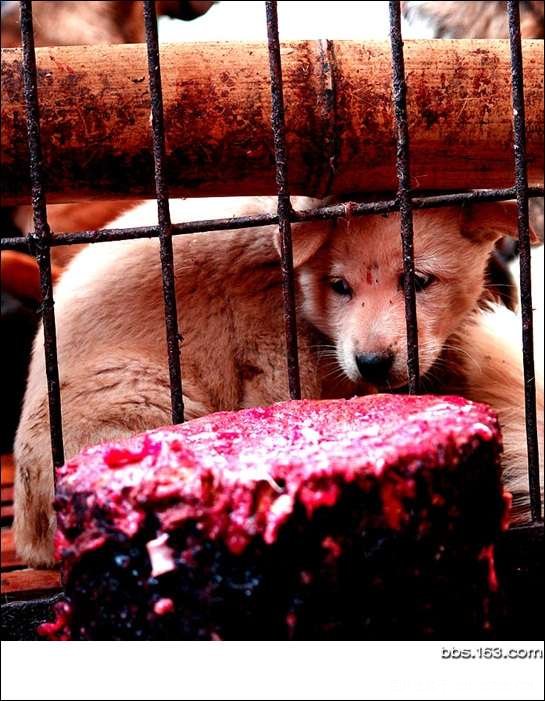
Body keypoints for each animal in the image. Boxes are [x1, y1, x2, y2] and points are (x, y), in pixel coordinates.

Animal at [13, 195, 544, 566]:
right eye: (339, 287)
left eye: (418, 281)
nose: (371, 363)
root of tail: (27, 532)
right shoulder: (270, 355)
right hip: (142, 391)